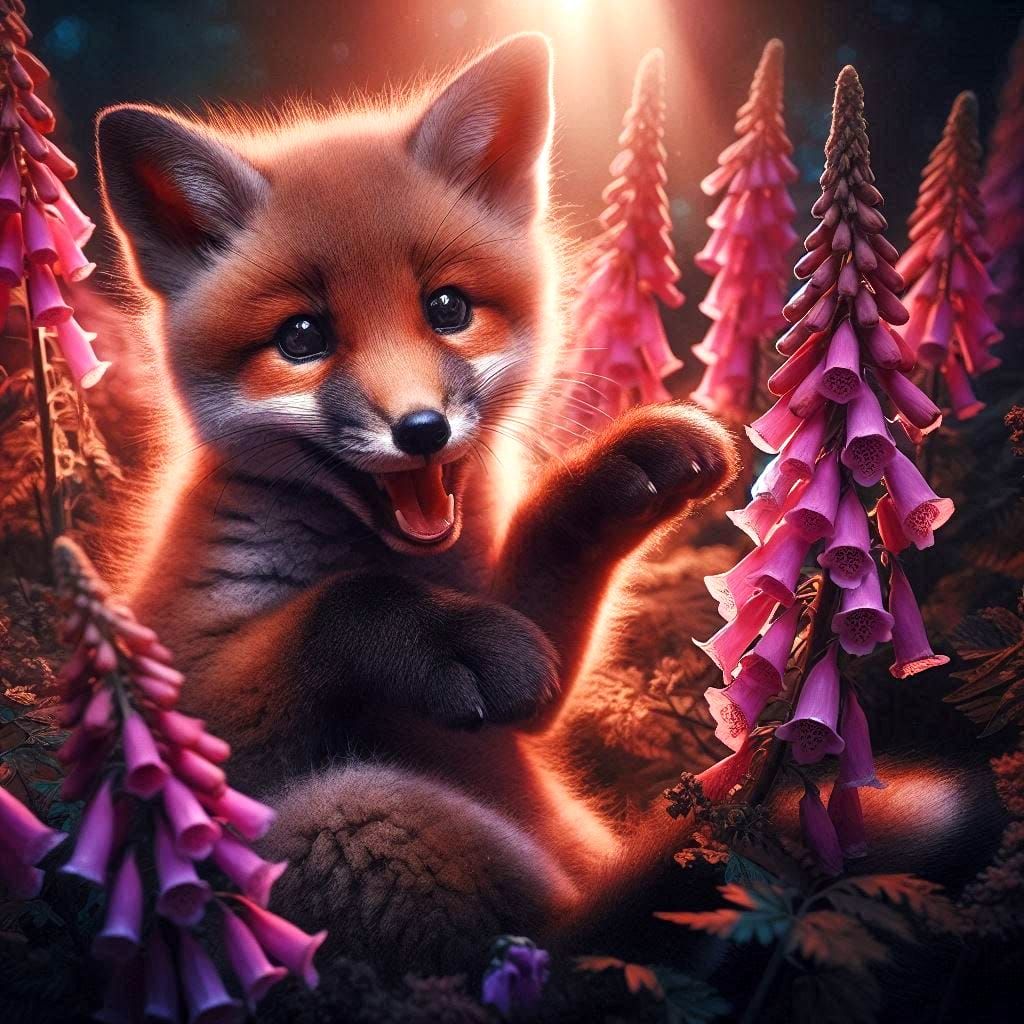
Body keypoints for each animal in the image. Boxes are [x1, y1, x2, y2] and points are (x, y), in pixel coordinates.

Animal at [95, 33, 1003, 978]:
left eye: (447, 308)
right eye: (301, 338)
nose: (420, 430)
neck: (419, 561)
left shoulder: (522, 697)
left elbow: (543, 588)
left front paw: (624, 471)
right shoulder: (187, 707)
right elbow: (336, 607)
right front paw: (444, 636)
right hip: (335, 818)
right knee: (563, 950)